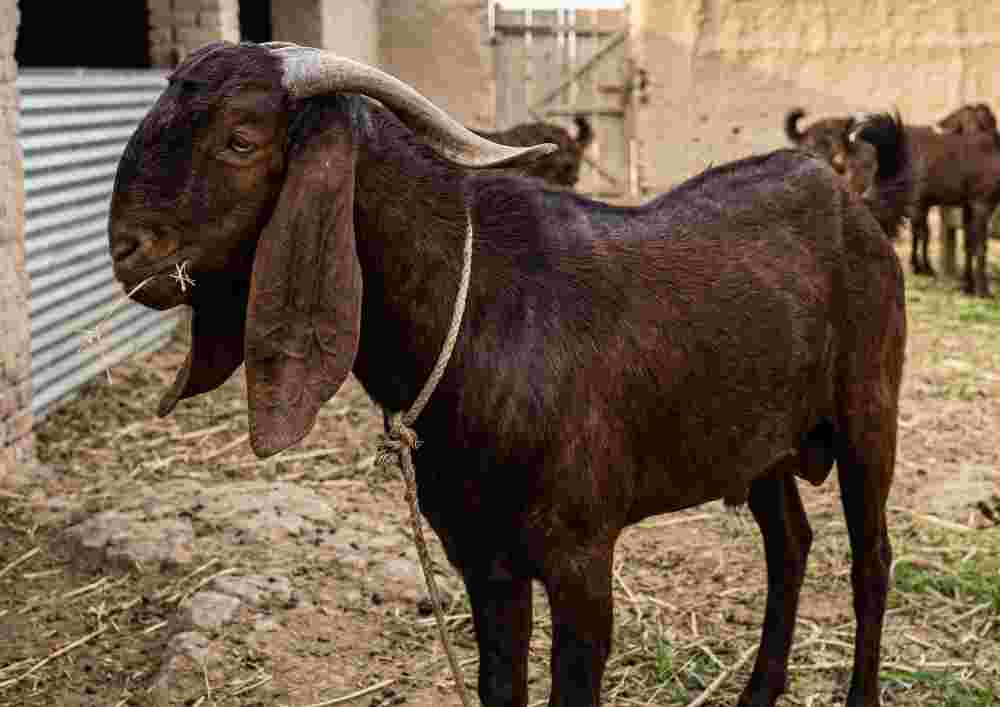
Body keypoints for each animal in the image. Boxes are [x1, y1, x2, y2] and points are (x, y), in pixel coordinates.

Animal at [109, 42, 909, 707]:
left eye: (240, 139)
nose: (126, 250)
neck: (474, 314)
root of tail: (857, 204)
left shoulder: (580, 556)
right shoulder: (482, 559)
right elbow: (501, 684)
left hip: (869, 414)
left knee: (871, 560)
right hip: (763, 444)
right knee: (790, 546)